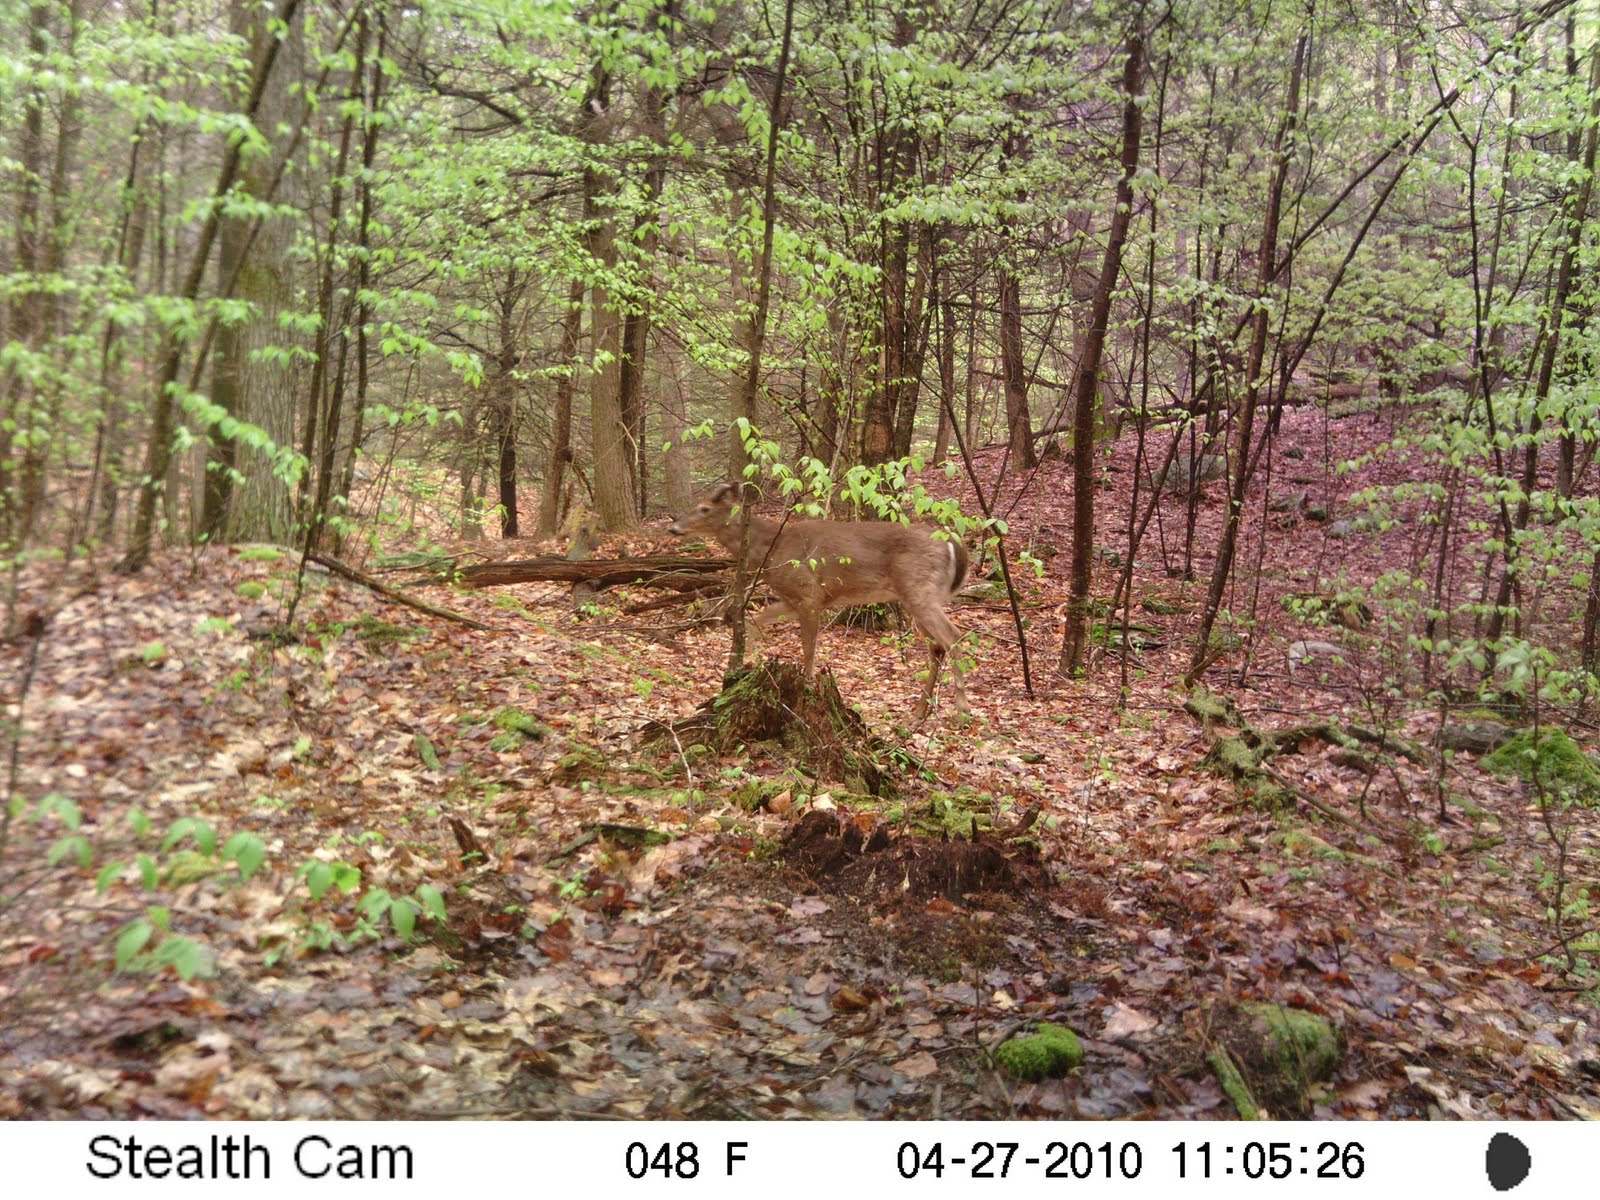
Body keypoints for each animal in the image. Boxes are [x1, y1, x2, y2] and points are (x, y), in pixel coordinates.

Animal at [667, 482, 971, 720]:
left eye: (704, 508)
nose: (673, 528)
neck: (772, 549)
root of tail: (953, 543)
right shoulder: (793, 599)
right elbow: (757, 621)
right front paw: (750, 663)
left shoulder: (809, 594)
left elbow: (808, 648)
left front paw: (808, 683)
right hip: (913, 597)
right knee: (936, 646)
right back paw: (919, 712)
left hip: (919, 589)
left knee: (953, 635)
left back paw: (961, 708)